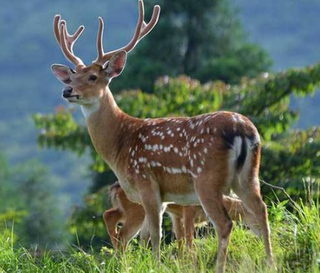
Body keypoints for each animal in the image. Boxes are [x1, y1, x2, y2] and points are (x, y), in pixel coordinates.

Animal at [104, 181, 262, 251]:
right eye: (255, 216)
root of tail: (114, 188)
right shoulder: (188, 211)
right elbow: (188, 239)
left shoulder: (177, 215)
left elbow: (180, 240)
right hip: (137, 211)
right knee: (122, 235)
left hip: (127, 210)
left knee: (109, 215)